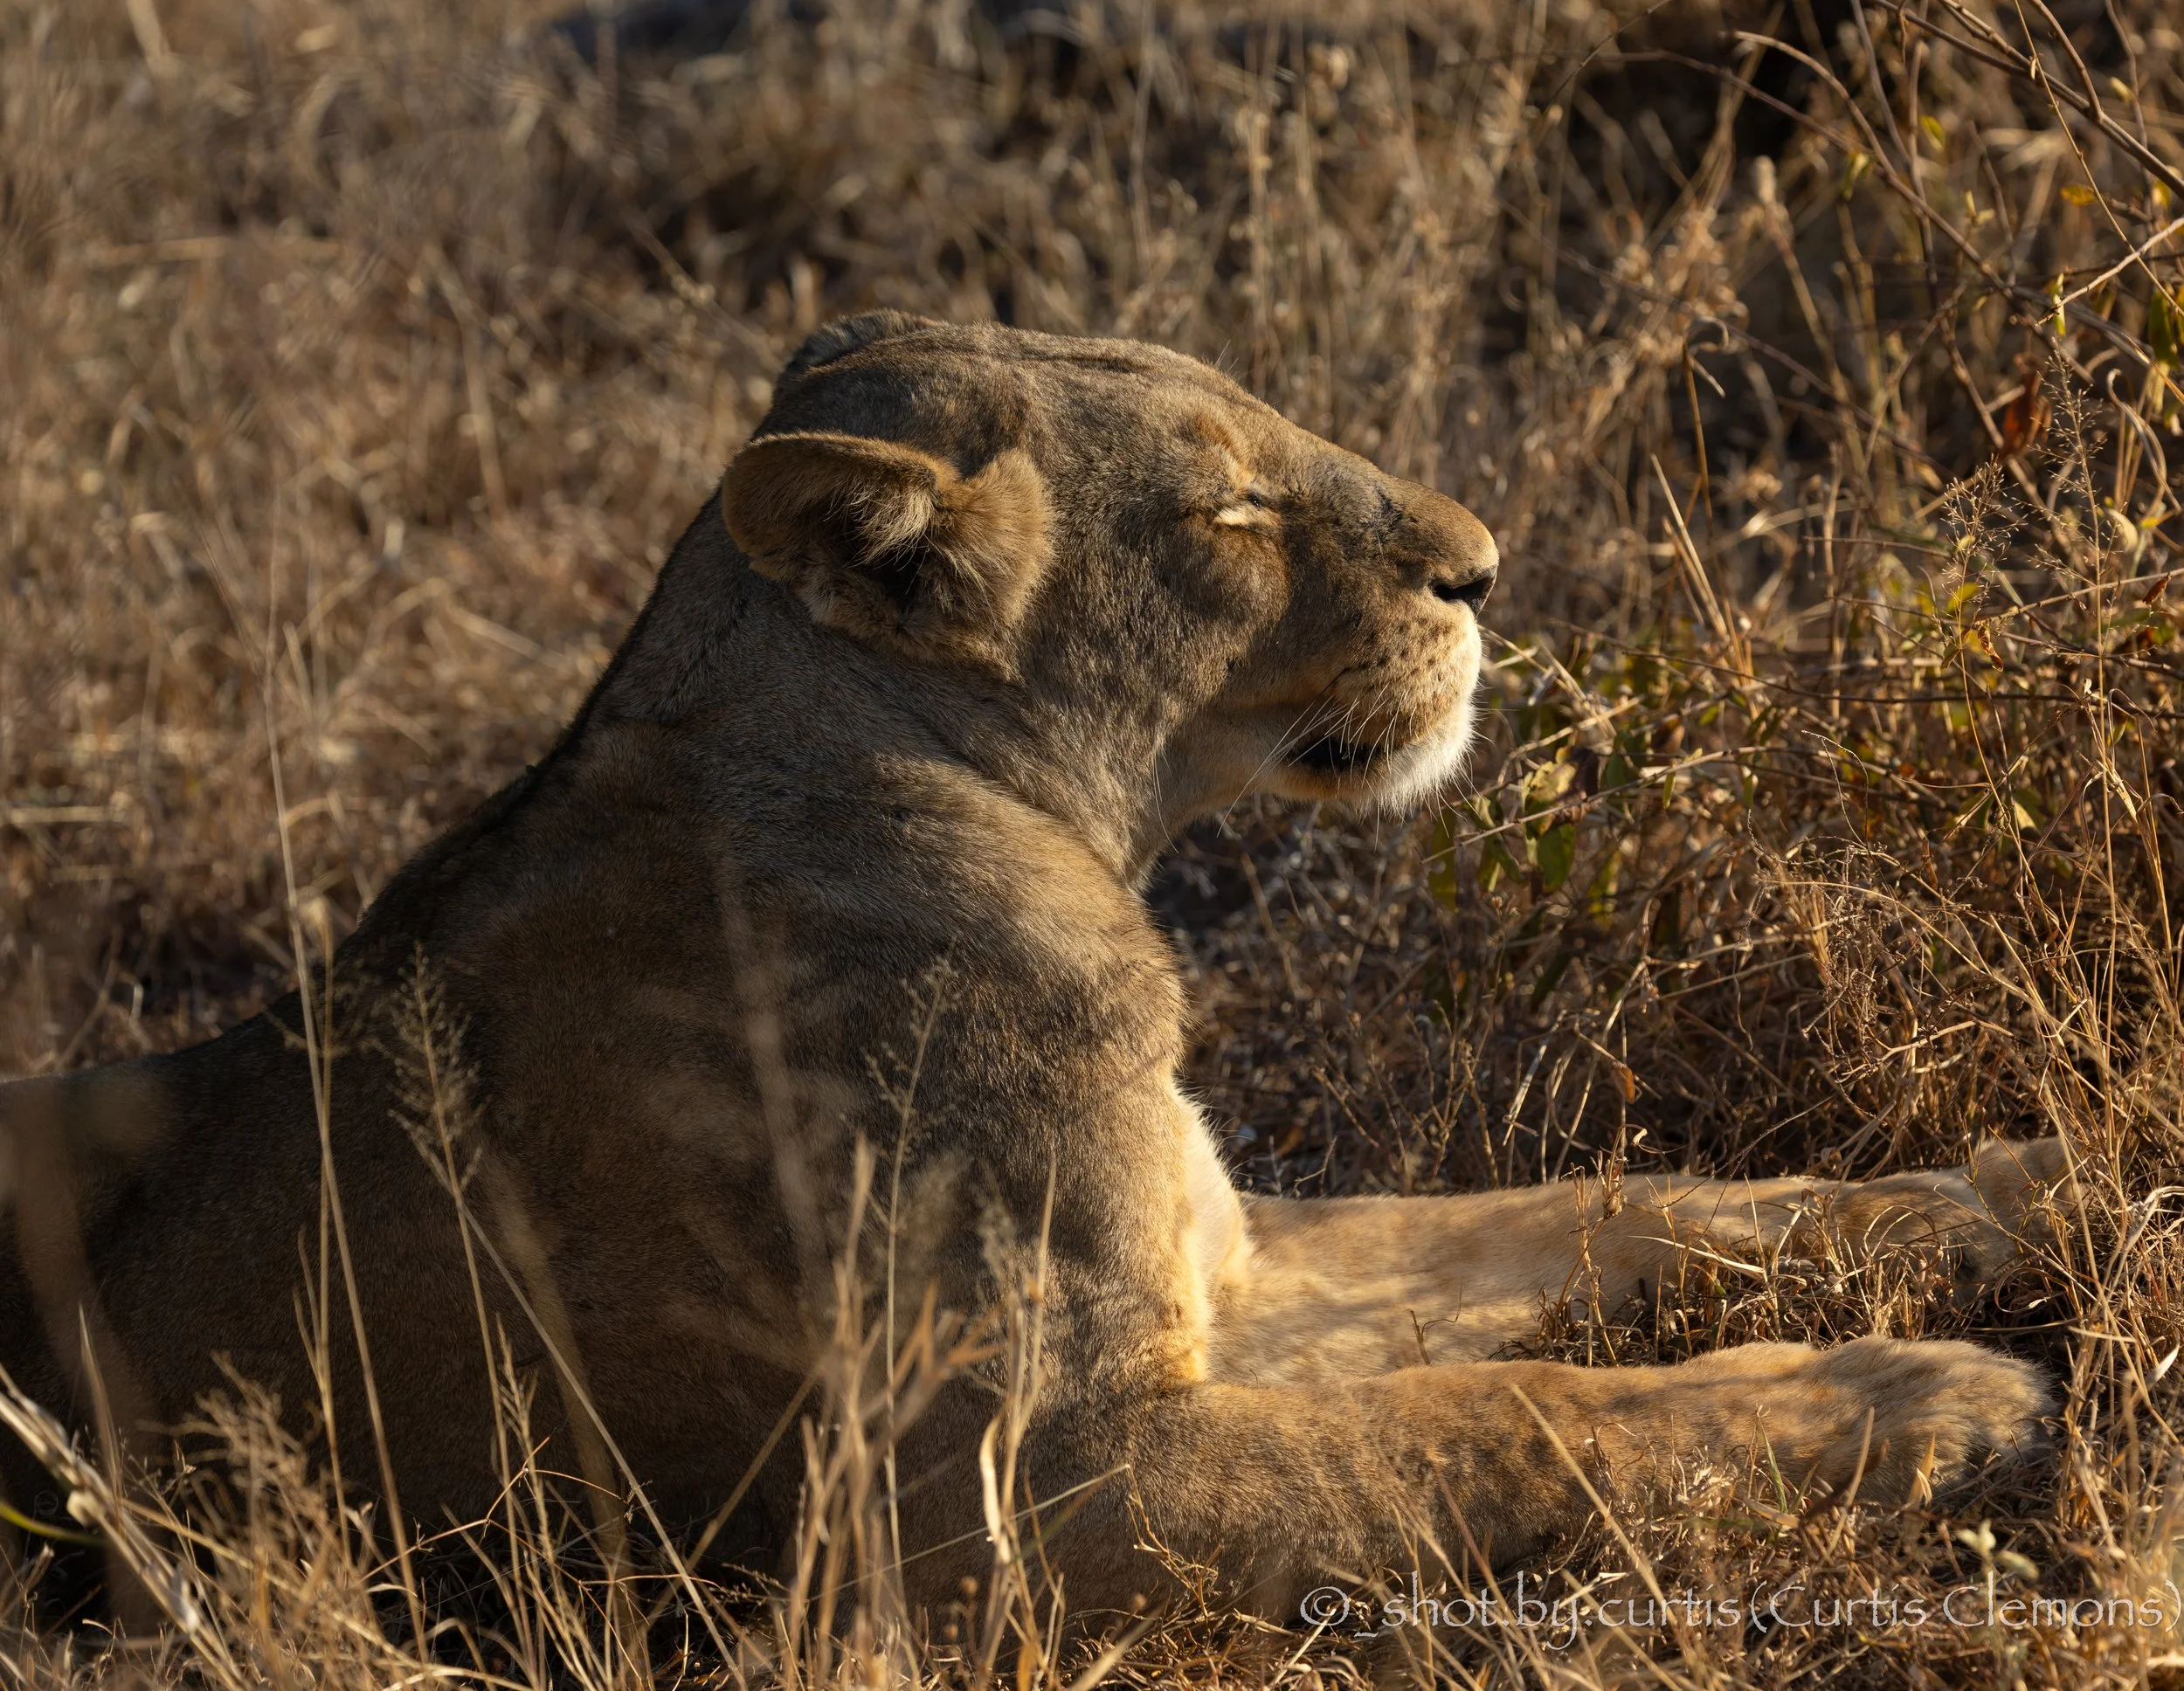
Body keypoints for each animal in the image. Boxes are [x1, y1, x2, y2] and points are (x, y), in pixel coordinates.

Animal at [0, 313, 2064, 1624]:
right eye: (1230, 513)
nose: (1484, 569)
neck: (1042, 817)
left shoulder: (1226, 1272)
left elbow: (1602, 1210)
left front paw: (2018, 1192)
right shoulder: (1020, 1498)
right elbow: (1510, 1412)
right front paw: (1945, 1398)